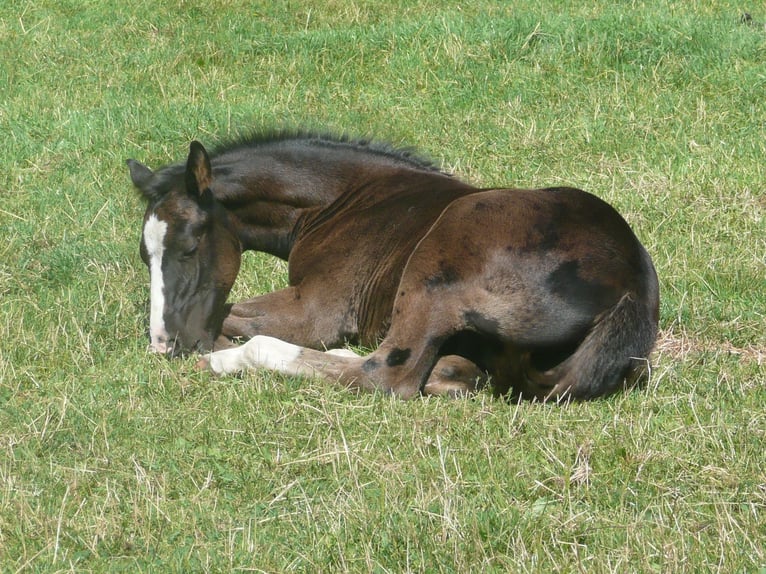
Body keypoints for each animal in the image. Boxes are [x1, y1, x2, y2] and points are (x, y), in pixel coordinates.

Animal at [130, 133, 660, 402]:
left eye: (189, 246)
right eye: (145, 255)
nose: (164, 344)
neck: (340, 201)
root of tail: (630, 291)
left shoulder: (316, 310)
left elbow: (235, 319)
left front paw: (219, 349)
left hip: (436, 266)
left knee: (389, 375)